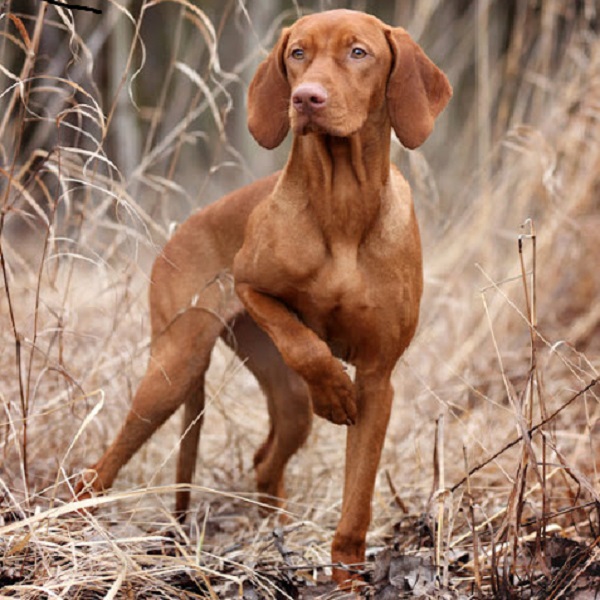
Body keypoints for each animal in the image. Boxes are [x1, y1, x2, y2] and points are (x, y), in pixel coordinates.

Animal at [76, 7, 450, 584]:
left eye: (358, 52)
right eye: (298, 53)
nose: (307, 98)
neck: (343, 204)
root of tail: (178, 233)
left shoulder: (377, 378)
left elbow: (357, 501)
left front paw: (347, 577)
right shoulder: (251, 286)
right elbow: (305, 342)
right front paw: (333, 389)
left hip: (286, 402)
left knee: (263, 463)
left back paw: (279, 536)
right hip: (174, 368)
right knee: (97, 470)